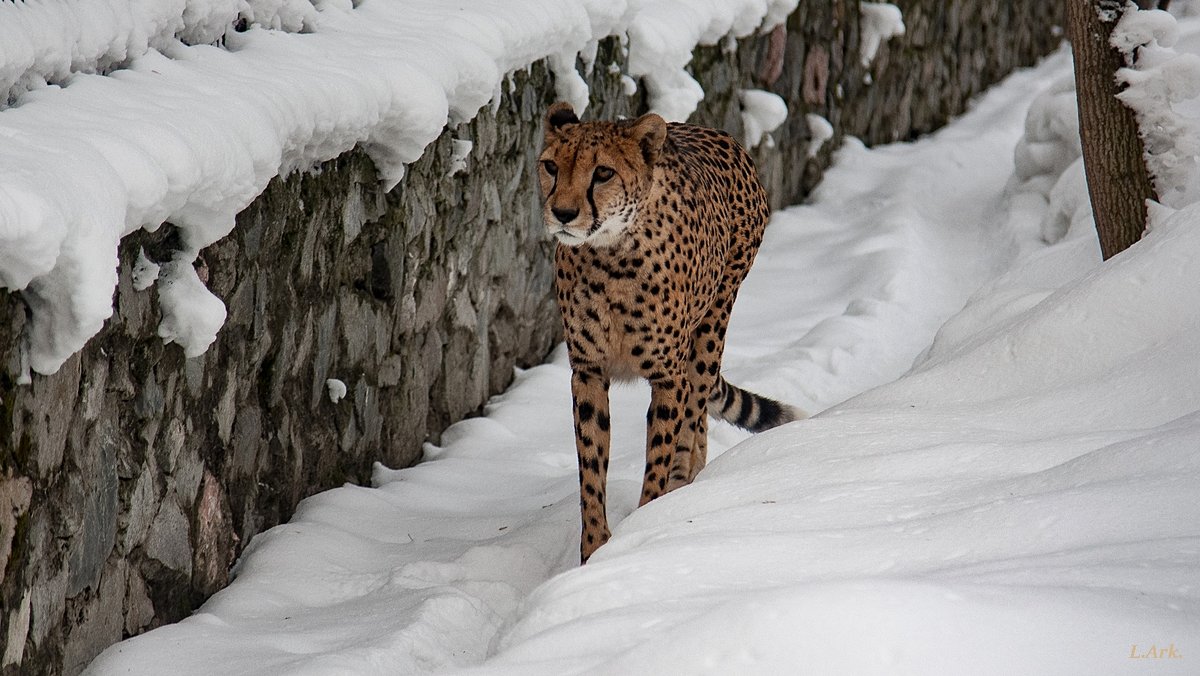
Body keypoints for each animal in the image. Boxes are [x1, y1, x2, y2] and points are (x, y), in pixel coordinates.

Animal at [537, 102, 801, 566]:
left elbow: (660, 450)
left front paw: (645, 523)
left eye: (602, 173)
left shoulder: (667, 375)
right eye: (551, 166)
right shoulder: (587, 372)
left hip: (711, 328)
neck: (609, 256)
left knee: (694, 418)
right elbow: (591, 467)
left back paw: (681, 491)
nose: (564, 214)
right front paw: (593, 553)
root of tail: (716, 133)